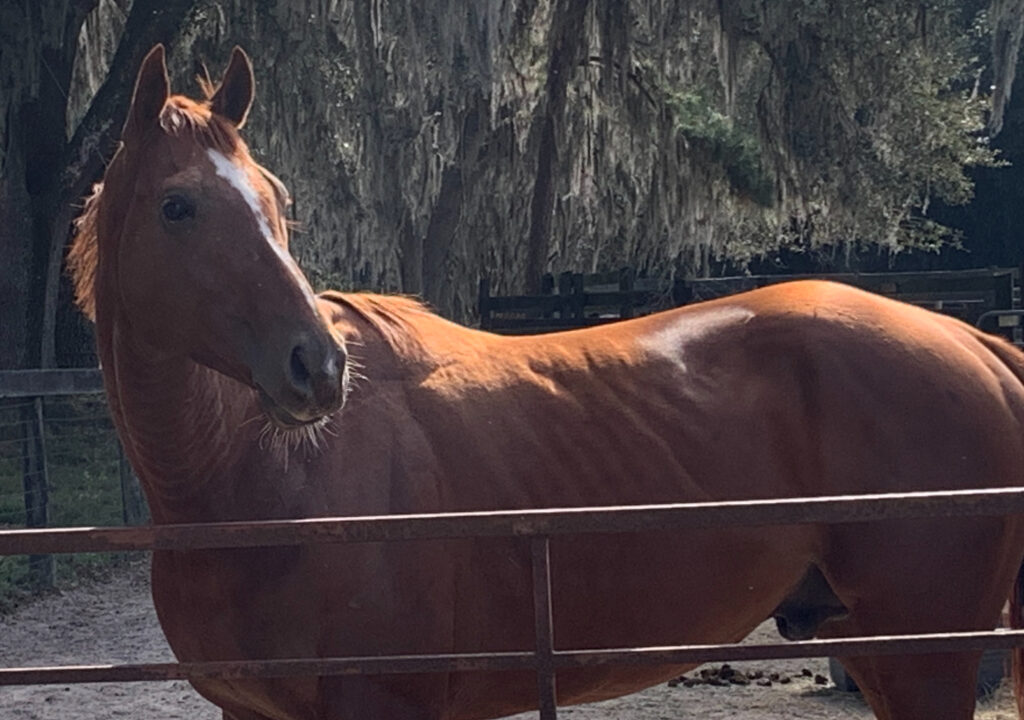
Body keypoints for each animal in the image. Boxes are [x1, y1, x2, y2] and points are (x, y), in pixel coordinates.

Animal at [68, 44, 1024, 720]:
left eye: (276, 200)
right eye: (178, 206)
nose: (318, 366)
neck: (267, 481)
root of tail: (974, 341)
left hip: (923, 660)